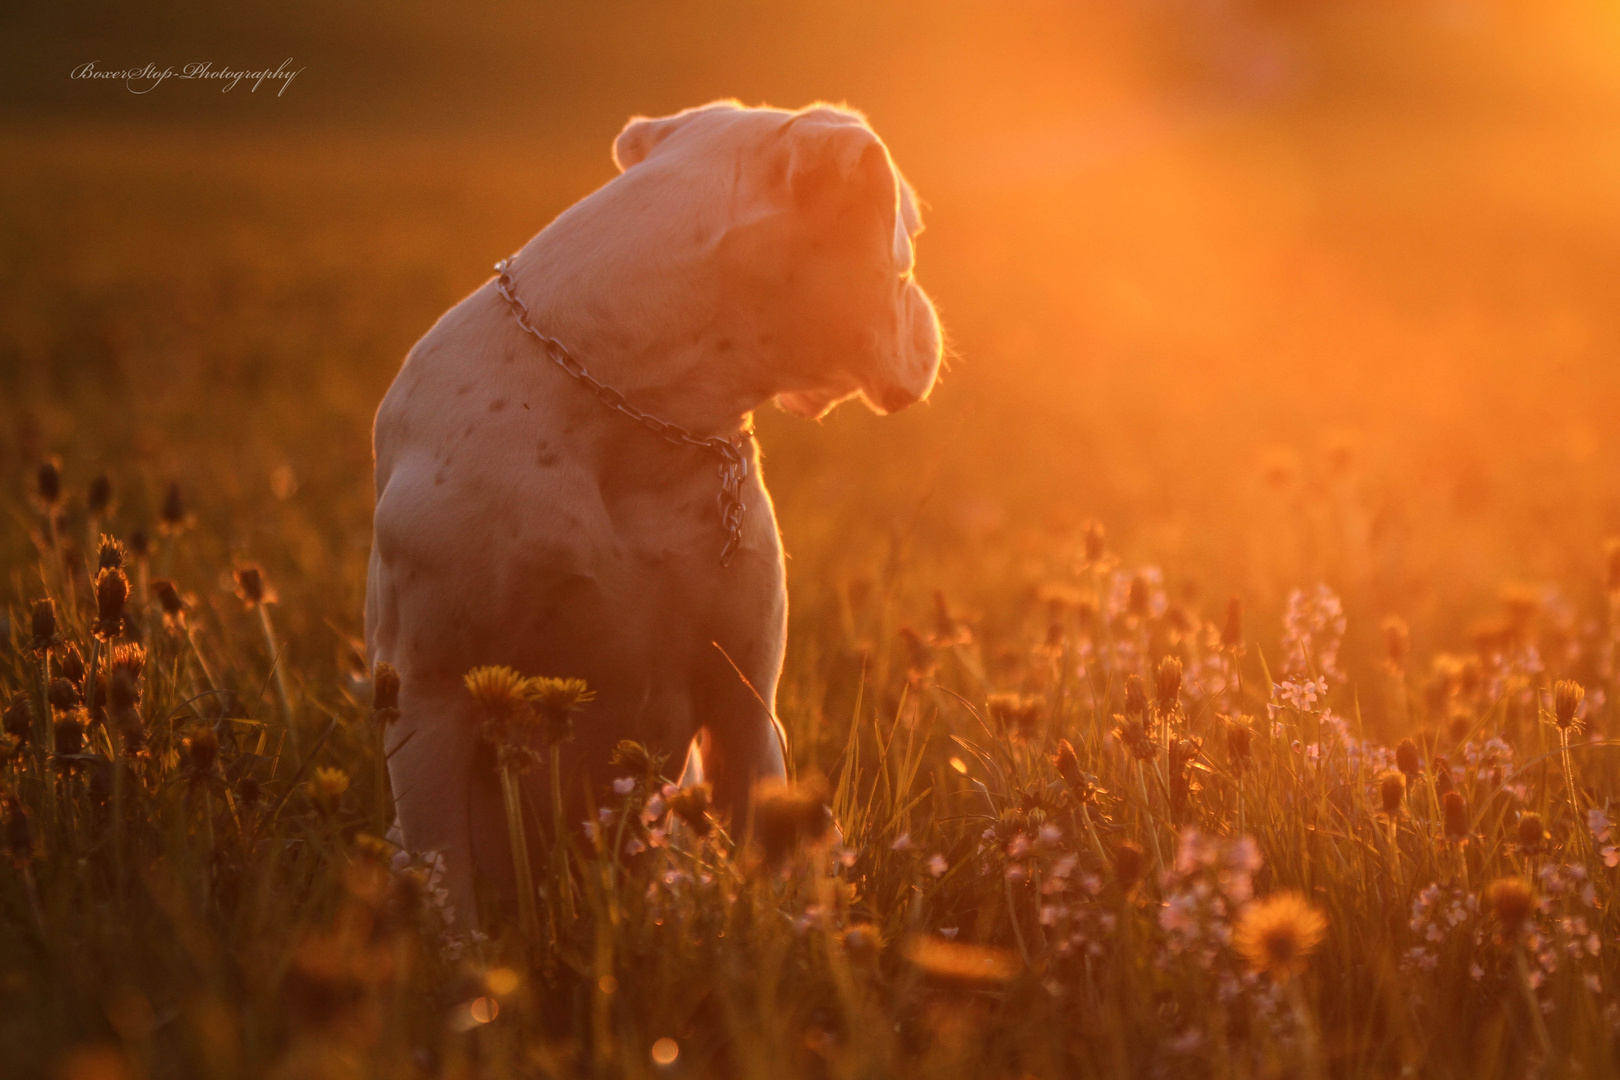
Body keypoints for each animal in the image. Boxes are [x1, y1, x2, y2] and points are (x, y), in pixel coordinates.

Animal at [362, 103, 946, 932]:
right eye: (909, 248)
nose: (931, 314)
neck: (638, 411)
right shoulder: (432, 697)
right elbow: (450, 888)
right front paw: (466, 969)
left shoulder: (743, 704)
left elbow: (774, 867)